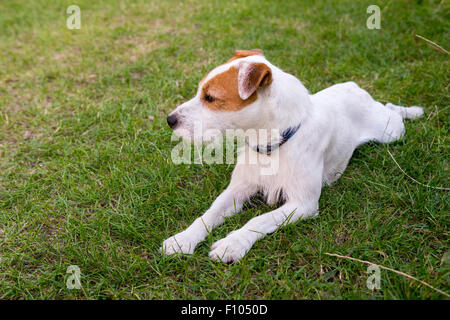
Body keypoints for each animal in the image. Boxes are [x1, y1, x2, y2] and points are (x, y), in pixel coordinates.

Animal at [161, 48, 422, 262]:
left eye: (211, 98)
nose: (170, 120)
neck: (273, 144)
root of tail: (356, 88)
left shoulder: (303, 203)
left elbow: (259, 220)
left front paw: (232, 244)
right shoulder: (237, 190)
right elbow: (208, 214)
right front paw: (183, 239)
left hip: (390, 131)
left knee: (391, 110)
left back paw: (412, 111)